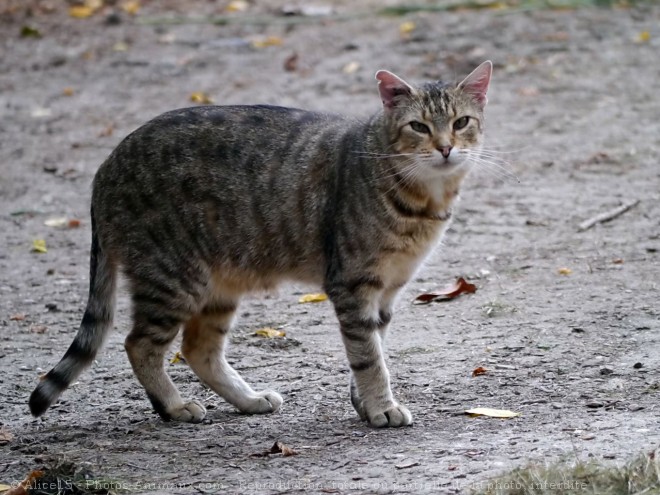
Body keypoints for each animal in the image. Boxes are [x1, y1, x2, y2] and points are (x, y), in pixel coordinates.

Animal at [32, 61, 496, 426]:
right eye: (418, 126)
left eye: (461, 122)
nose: (446, 148)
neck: (423, 203)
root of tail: (104, 168)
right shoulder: (352, 283)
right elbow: (368, 356)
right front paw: (381, 406)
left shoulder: (387, 289)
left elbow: (370, 348)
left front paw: (364, 403)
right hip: (173, 278)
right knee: (140, 344)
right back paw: (173, 406)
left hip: (218, 285)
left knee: (198, 350)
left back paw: (248, 399)